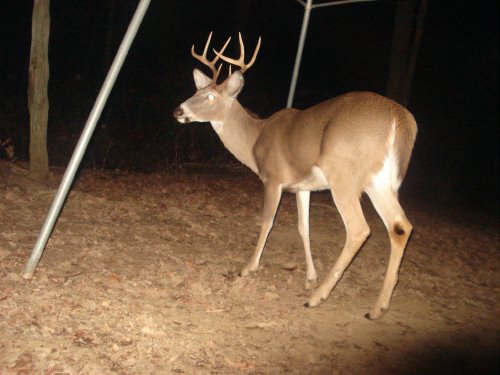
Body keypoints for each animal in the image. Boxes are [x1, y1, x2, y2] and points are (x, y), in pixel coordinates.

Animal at [174, 33, 416, 320]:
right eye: (195, 92)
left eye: (210, 96)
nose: (178, 111)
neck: (255, 138)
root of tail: (400, 119)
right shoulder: (303, 187)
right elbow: (304, 227)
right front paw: (310, 277)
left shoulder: (273, 177)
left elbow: (267, 221)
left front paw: (248, 268)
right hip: (379, 182)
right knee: (400, 226)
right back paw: (378, 307)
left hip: (344, 173)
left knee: (359, 229)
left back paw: (318, 297)